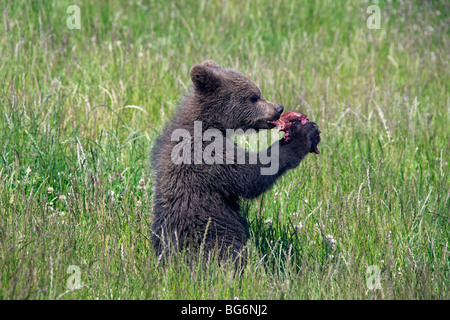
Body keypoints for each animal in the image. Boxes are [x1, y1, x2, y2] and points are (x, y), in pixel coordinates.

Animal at [151, 60, 320, 264]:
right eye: (253, 97)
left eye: (258, 92)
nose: (278, 108)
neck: (209, 124)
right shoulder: (208, 154)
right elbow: (251, 175)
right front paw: (303, 133)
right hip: (209, 232)